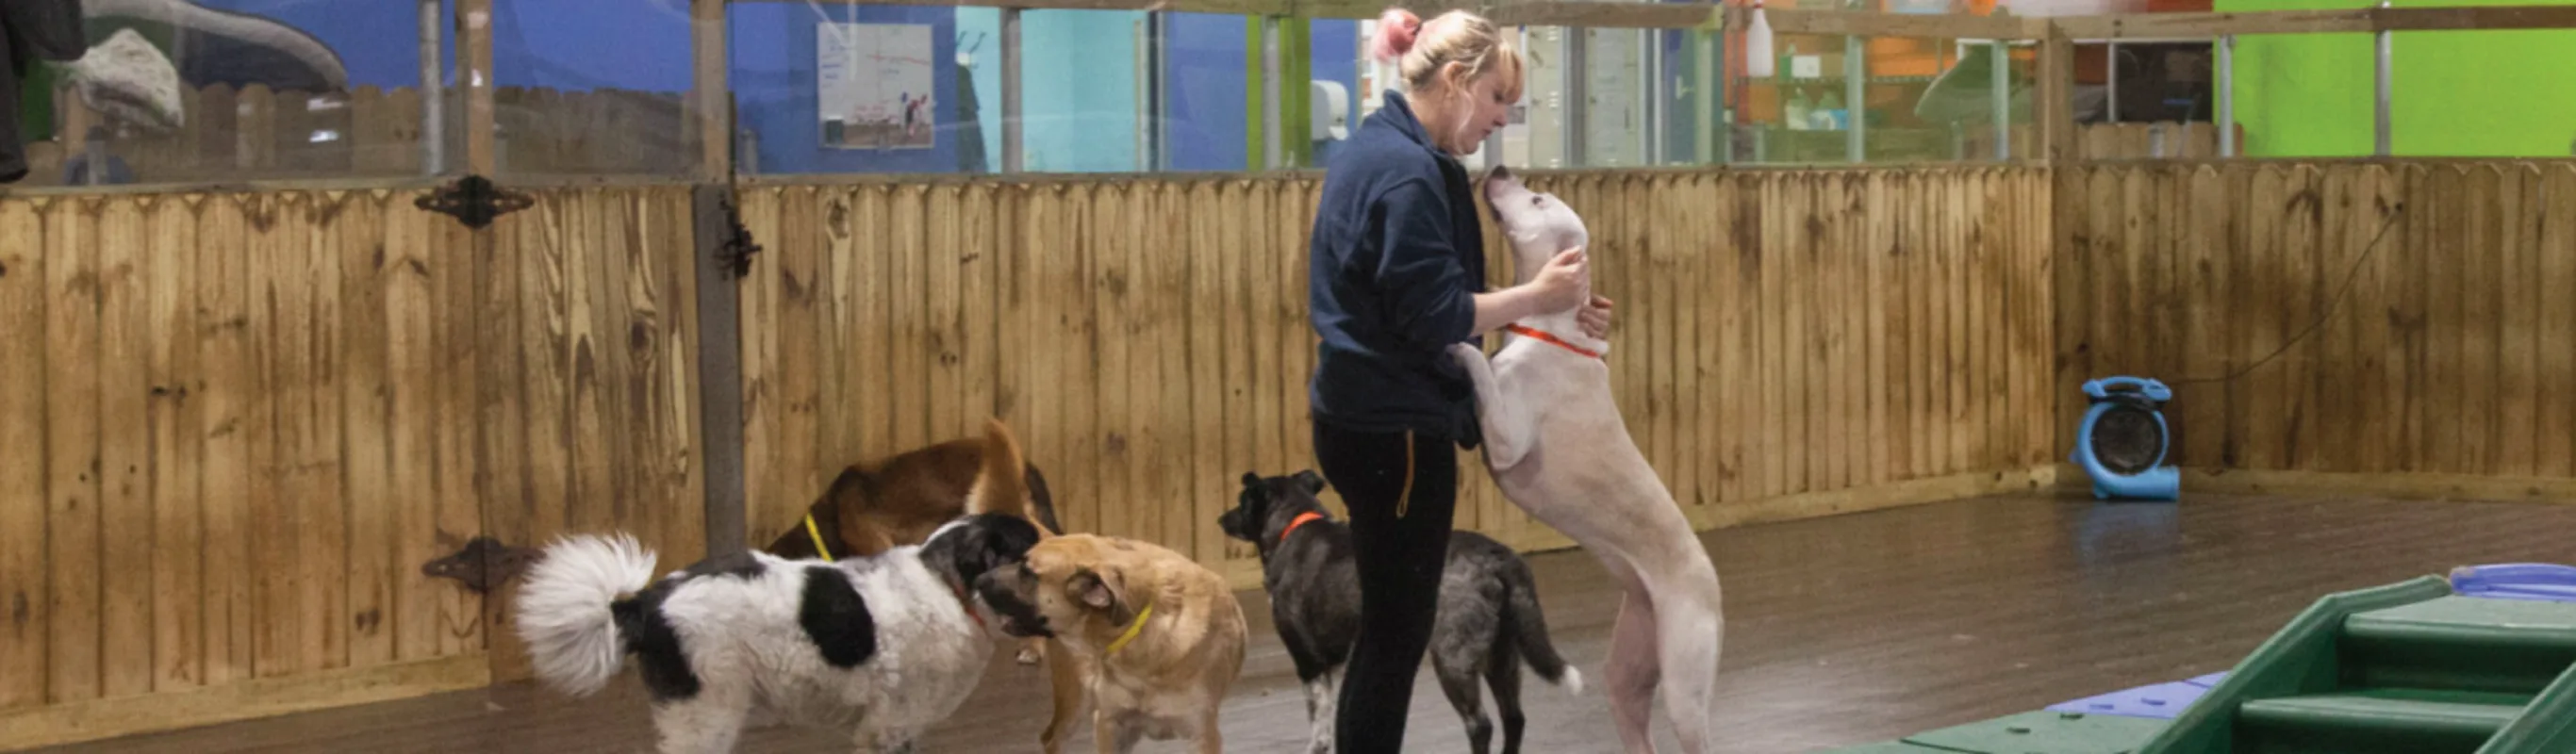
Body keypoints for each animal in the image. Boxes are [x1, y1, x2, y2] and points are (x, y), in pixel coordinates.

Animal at [973, 530, 1247, 751]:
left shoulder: (1202, 735)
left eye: (1027, 572)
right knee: (1051, 739)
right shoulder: (1108, 724)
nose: (977, 580)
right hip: (1074, 701)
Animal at [1215, 466, 1576, 746]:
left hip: (1454, 657)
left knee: (1480, 724)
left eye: (1242, 502)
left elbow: (1320, 729)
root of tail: (1498, 557)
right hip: (1503, 655)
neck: (1291, 524)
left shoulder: (1309, 662)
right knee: (1514, 718)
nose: (1221, 519)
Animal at [1452, 164, 1730, 751]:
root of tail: (1712, 587)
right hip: (1625, 674)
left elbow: (1481, 371)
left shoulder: (1506, 440)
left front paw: (1459, 345)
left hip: (1684, 690)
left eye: (1537, 199)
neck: (1549, 328)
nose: (1500, 169)